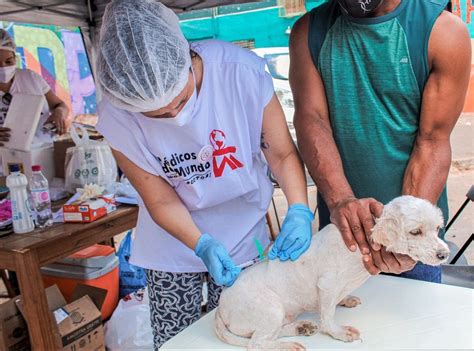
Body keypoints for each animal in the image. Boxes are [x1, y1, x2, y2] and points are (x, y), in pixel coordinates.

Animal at [214, 197, 448, 350]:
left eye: (437, 228)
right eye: (415, 232)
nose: (444, 254)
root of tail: (219, 308)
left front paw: (345, 299)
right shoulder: (327, 285)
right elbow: (327, 316)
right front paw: (339, 333)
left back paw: (301, 328)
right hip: (271, 308)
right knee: (255, 344)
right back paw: (288, 346)